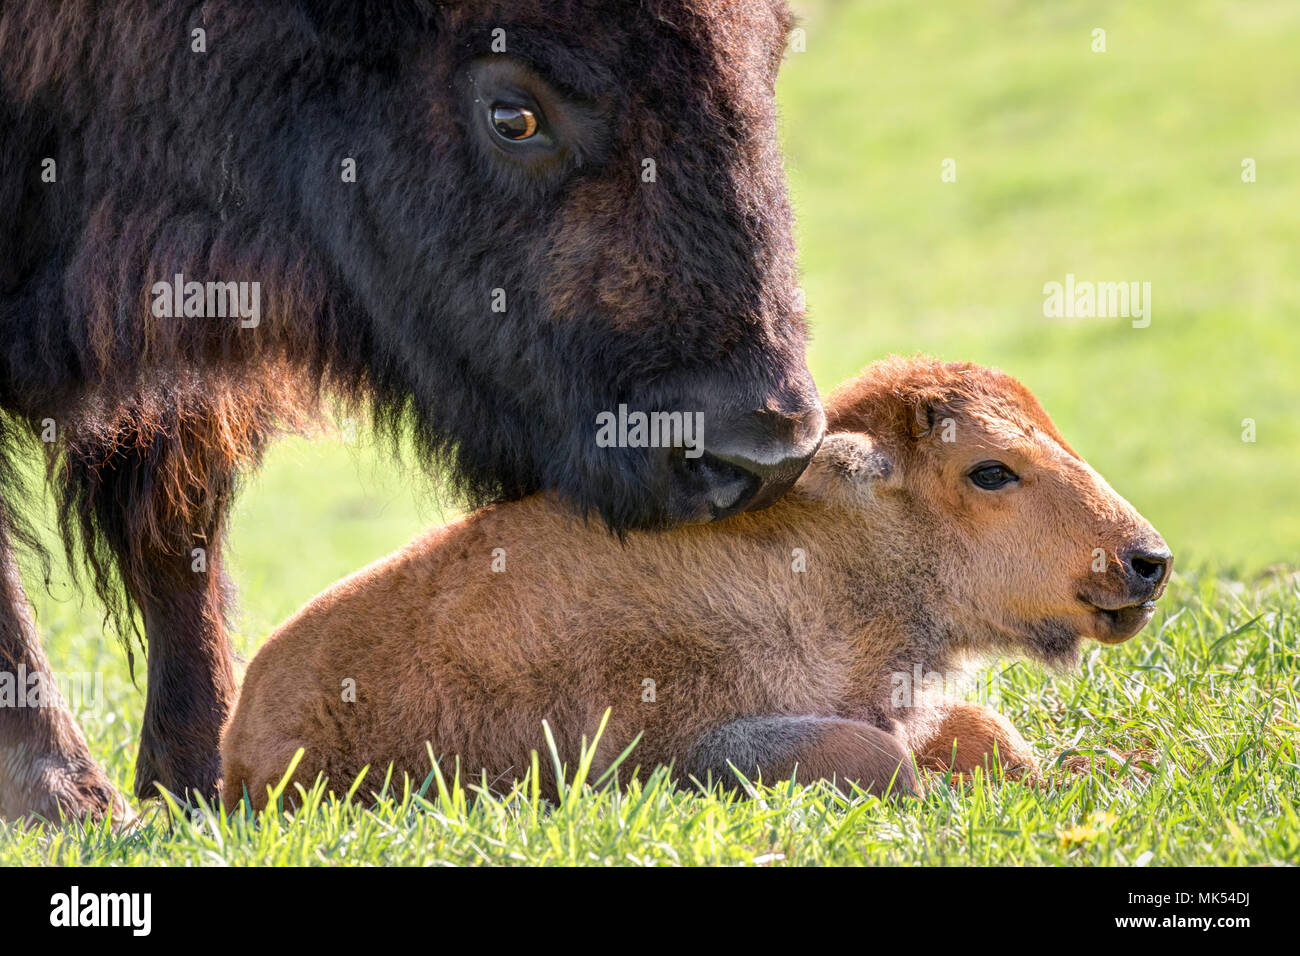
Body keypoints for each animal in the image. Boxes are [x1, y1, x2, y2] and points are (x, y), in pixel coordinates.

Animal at [0, 1, 821, 822]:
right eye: (513, 116)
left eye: (774, 57)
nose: (765, 453)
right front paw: (70, 802)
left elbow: (177, 535)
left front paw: (199, 779)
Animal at [218, 358, 1175, 806]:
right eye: (990, 471)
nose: (1147, 560)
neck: (830, 556)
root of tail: (238, 736)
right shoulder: (687, 750)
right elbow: (881, 761)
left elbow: (985, 730)